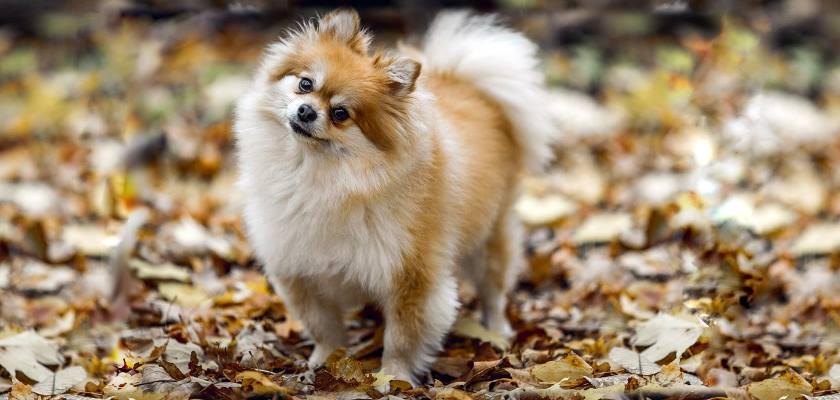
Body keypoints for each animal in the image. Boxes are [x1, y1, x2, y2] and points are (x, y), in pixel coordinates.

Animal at [235, 8, 556, 384]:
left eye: (341, 114)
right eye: (305, 84)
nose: (305, 111)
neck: (321, 177)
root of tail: (469, 86)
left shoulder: (412, 274)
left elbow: (402, 336)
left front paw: (392, 377)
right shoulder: (298, 268)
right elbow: (323, 326)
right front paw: (325, 360)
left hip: (490, 236)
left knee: (493, 288)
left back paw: (497, 329)